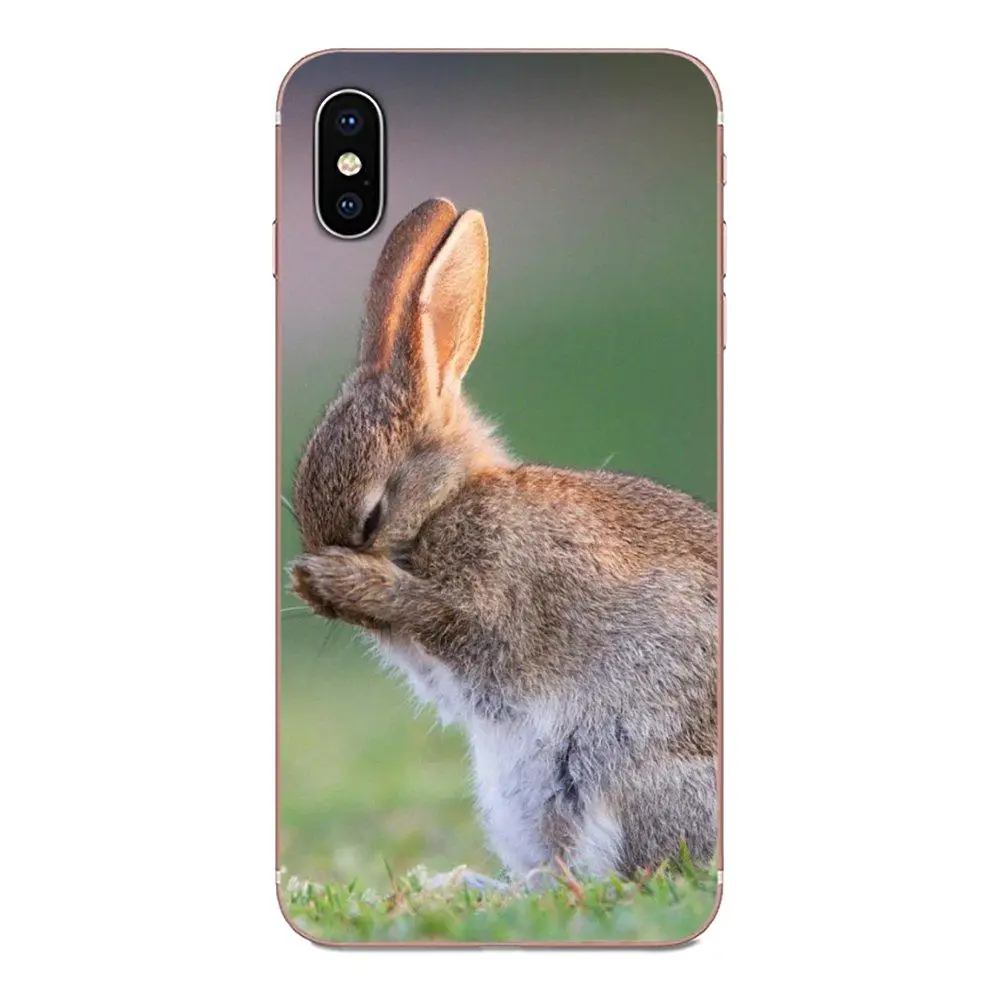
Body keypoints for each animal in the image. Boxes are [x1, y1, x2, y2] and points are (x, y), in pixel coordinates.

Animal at [289, 198, 718, 881]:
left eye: (373, 515)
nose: (312, 585)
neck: (447, 501)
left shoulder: (489, 601)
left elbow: (444, 615)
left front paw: (337, 579)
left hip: (621, 775)